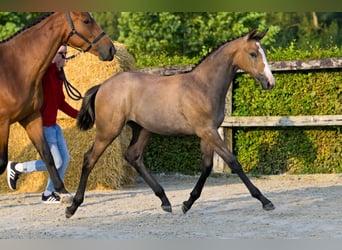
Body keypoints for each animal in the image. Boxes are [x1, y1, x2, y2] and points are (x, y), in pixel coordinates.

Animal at [0, 12, 115, 203]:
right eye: (86, 21)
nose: (111, 49)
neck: (14, 70)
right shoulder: (3, 123)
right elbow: (2, 162)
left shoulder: (31, 117)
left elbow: (48, 155)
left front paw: (62, 191)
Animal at [66, 28, 276, 218]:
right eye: (253, 53)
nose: (270, 83)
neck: (203, 86)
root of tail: (103, 85)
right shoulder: (208, 132)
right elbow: (233, 162)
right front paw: (265, 201)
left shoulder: (208, 133)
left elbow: (207, 166)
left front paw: (187, 203)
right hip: (108, 130)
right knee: (89, 158)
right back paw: (72, 207)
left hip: (143, 129)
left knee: (133, 156)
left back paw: (165, 201)